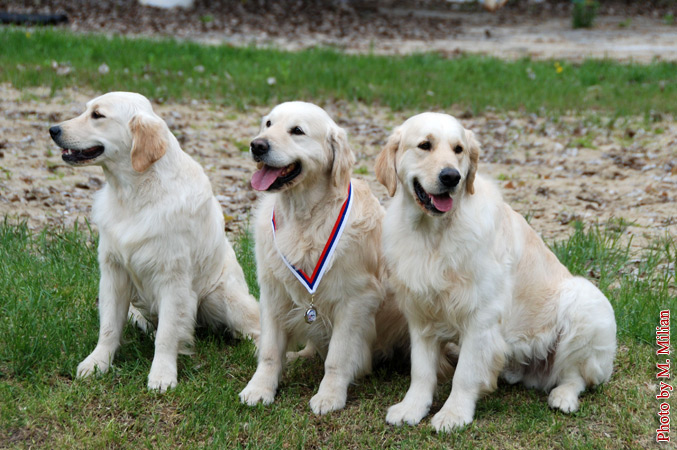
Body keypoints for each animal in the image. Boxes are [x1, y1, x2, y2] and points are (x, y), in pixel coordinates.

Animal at [49, 92, 260, 391]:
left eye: (98, 115)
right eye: (85, 110)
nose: (53, 129)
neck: (134, 193)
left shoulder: (172, 278)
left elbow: (168, 334)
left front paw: (162, 375)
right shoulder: (113, 273)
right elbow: (109, 327)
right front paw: (98, 362)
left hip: (225, 298)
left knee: (255, 328)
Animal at [238, 101, 411, 415]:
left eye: (297, 130)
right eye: (268, 124)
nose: (257, 145)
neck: (304, 218)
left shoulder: (355, 300)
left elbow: (337, 358)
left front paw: (330, 396)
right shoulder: (273, 293)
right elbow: (270, 351)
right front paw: (260, 388)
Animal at [375, 112, 616, 432]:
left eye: (459, 149)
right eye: (425, 145)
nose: (451, 177)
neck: (434, 234)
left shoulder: (482, 315)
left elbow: (465, 373)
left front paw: (454, 414)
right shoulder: (420, 313)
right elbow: (422, 370)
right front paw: (412, 407)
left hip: (582, 298)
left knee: (576, 375)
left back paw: (563, 397)